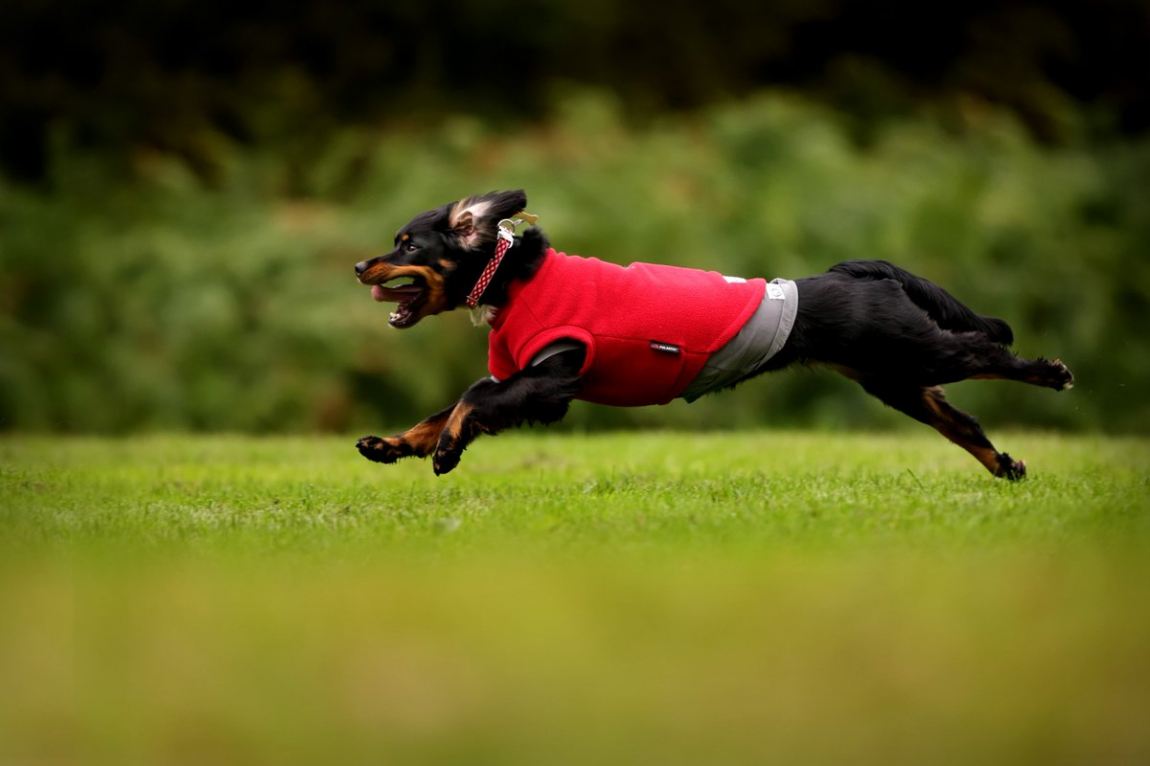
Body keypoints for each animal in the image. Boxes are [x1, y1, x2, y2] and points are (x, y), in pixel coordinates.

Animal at [354, 189, 1071, 478]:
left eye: (407, 243)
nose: (361, 264)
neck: (512, 276)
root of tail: (855, 269)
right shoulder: (521, 377)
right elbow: (444, 407)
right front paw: (392, 445)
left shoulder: (549, 379)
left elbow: (470, 398)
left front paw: (446, 451)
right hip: (895, 379)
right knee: (964, 424)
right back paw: (1006, 465)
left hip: (913, 351)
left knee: (987, 350)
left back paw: (1051, 372)